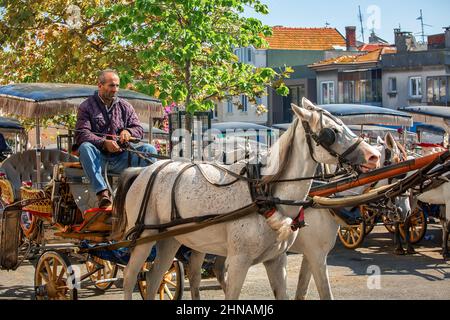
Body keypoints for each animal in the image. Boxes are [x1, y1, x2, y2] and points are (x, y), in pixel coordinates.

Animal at [112, 98, 380, 300]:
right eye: (331, 132)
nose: (373, 156)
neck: (264, 192)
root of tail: (144, 169)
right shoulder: (242, 261)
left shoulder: (277, 260)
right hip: (144, 237)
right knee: (131, 278)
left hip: (171, 239)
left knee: (155, 278)